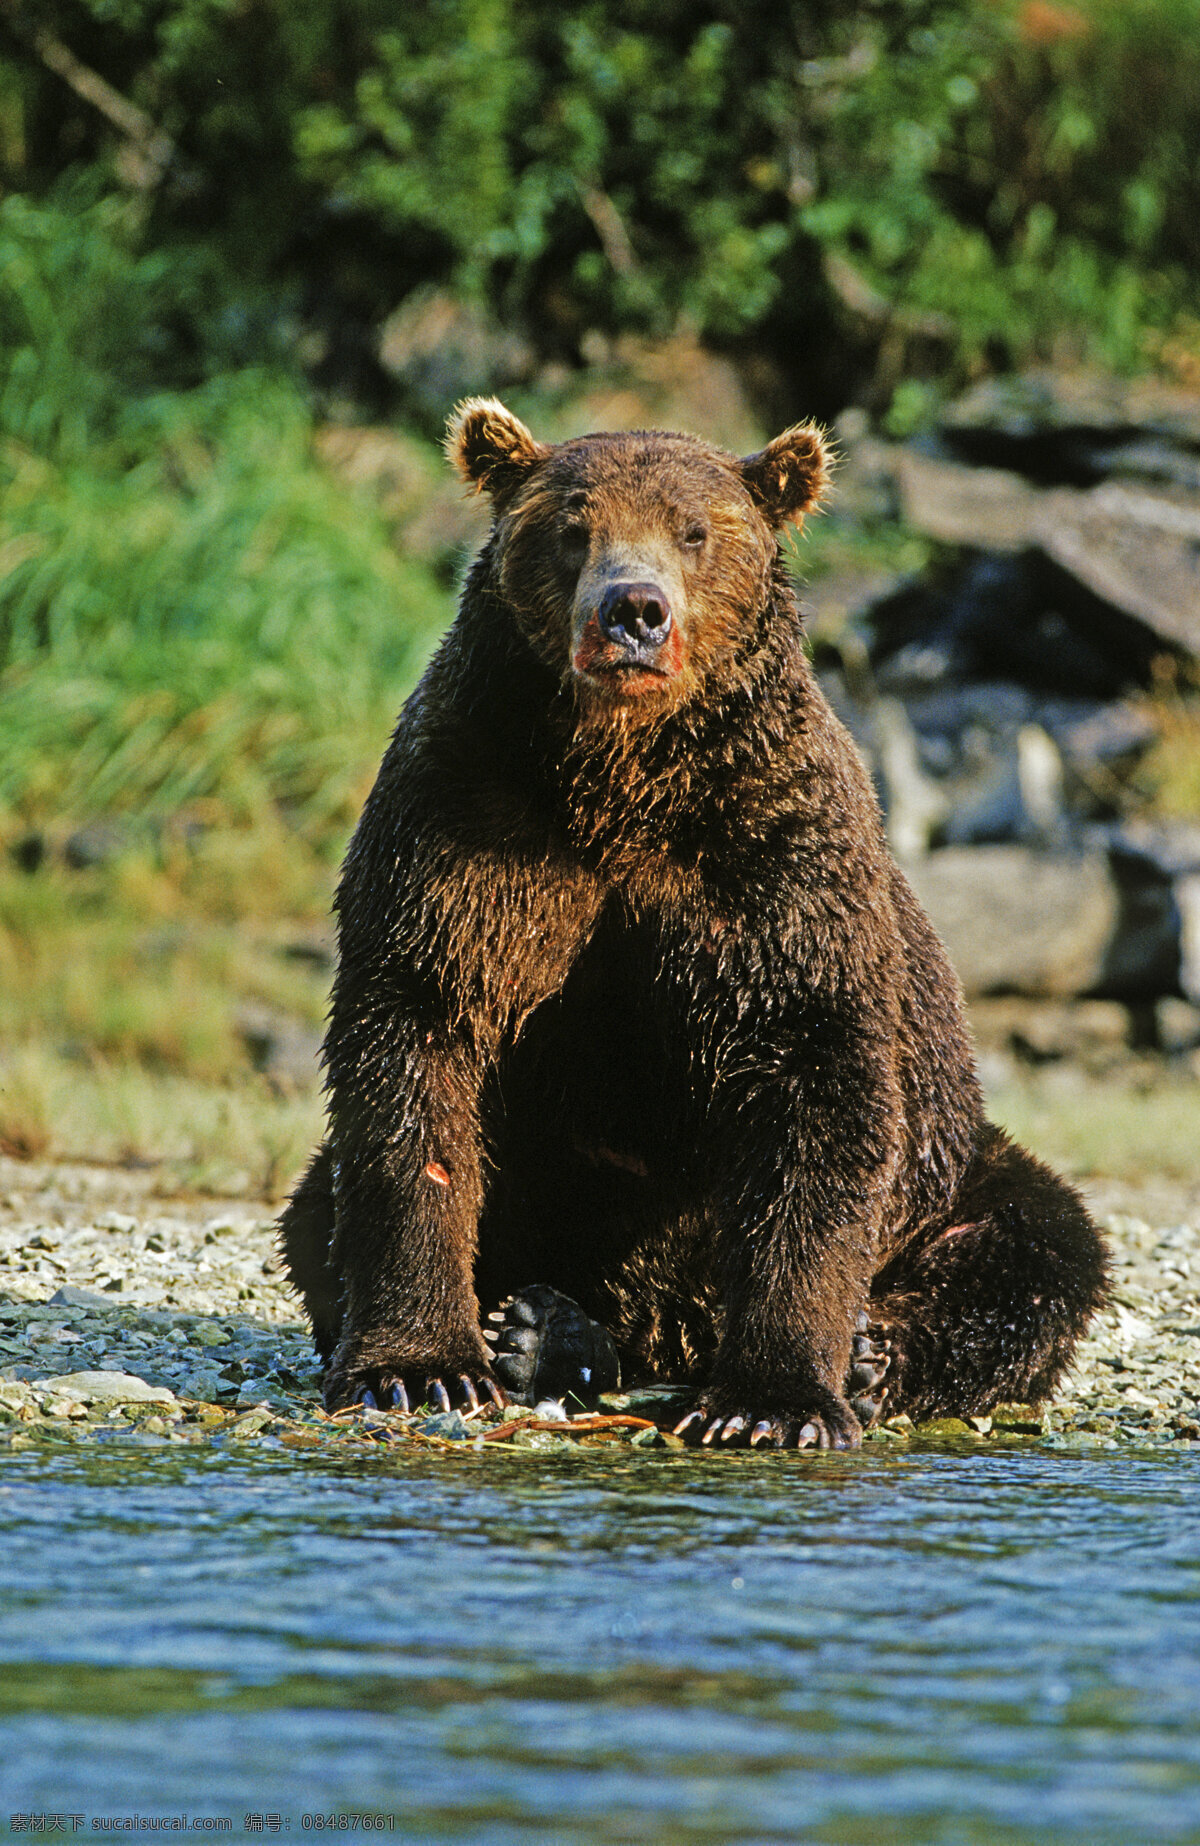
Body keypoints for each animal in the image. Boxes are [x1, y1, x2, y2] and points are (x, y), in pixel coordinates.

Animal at [278, 396, 1100, 1447]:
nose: (633, 611)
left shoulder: (773, 856)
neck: (619, 784)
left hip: (953, 1170)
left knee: (1040, 1252)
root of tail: (672, 1331)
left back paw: (869, 1356)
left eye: (696, 531)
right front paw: (419, 1370)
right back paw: (545, 1331)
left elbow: (813, 1077)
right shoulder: (468, 820)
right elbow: (417, 1043)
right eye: (572, 526)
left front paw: (772, 1403)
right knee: (318, 1207)